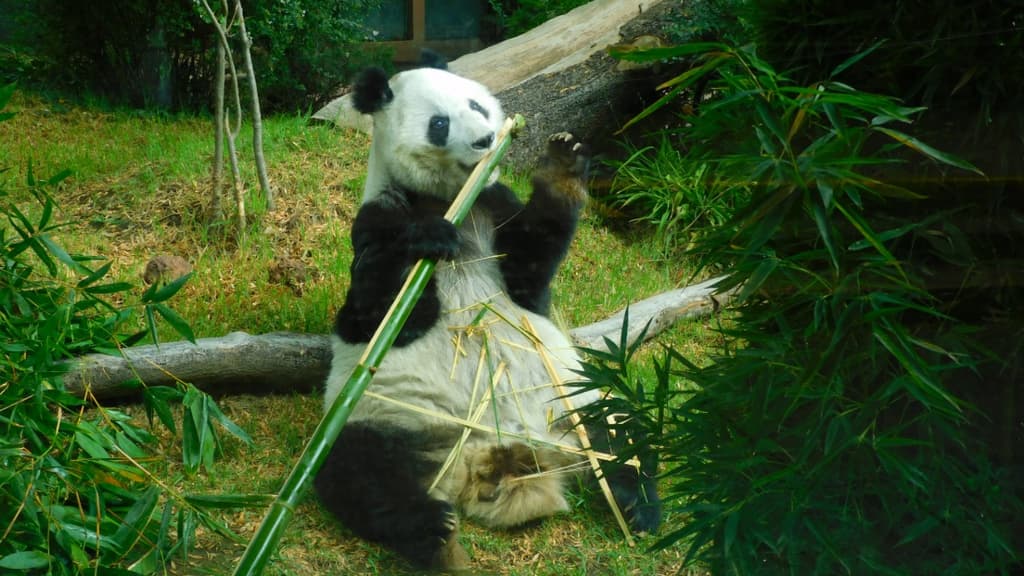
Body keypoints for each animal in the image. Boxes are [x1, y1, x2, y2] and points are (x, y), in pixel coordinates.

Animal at [314, 55, 661, 571]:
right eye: (439, 124)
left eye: (476, 105)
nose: (484, 139)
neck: (452, 199)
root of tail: (492, 452)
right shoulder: (378, 217)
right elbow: (372, 315)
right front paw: (427, 239)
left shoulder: (496, 211)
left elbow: (530, 275)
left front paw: (563, 164)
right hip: (387, 417)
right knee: (359, 473)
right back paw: (433, 533)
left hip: (574, 402)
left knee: (626, 428)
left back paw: (637, 504)